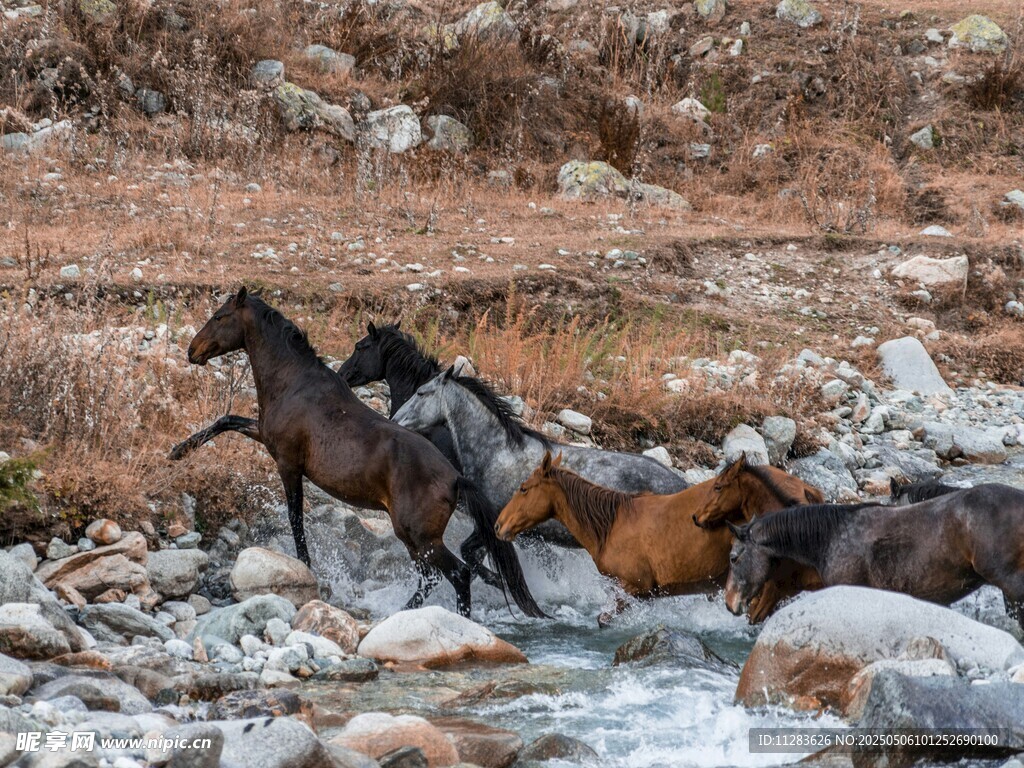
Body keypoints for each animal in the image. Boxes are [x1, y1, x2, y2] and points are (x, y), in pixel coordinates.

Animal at [178, 288, 546, 618]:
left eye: (219, 317)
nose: (192, 351)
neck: (293, 382)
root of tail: (456, 478)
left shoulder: (287, 463)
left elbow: (296, 519)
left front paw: (307, 567)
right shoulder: (264, 436)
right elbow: (226, 420)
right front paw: (179, 451)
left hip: (419, 536)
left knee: (458, 573)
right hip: (414, 540)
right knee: (432, 577)